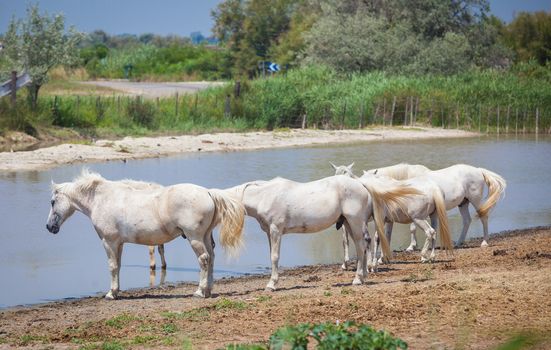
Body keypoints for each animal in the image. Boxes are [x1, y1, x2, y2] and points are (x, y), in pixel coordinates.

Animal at [45, 169, 246, 298]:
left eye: (53, 202)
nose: (49, 226)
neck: (102, 199)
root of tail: (208, 192)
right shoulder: (118, 244)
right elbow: (118, 266)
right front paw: (116, 292)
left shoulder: (108, 242)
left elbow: (112, 267)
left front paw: (110, 293)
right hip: (204, 237)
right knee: (211, 259)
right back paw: (208, 290)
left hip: (194, 238)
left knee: (204, 259)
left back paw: (200, 291)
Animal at [224, 175, 418, 290]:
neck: (265, 195)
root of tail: (361, 184)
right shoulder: (269, 233)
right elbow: (271, 255)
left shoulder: (276, 231)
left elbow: (275, 257)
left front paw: (272, 284)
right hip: (349, 223)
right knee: (362, 246)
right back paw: (362, 276)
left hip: (355, 222)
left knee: (361, 246)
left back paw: (357, 279)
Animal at [366, 163, 508, 246]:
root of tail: (478, 170)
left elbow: (412, 227)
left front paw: (412, 247)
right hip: (463, 203)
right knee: (467, 220)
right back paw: (458, 243)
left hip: (475, 200)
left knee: (483, 217)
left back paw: (484, 242)